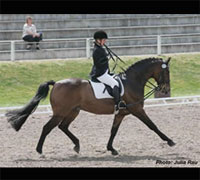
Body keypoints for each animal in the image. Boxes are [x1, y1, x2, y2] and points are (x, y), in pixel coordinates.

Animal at [6, 57, 175, 155]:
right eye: (166, 72)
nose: (165, 89)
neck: (131, 81)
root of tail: (57, 83)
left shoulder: (120, 113)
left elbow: (113, 131)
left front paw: (111, 149)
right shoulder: (137, 110)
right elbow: (152, 126)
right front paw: (170, 141)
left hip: (73, 112)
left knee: (63, 127)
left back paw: (76, 145)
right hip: (60, 113)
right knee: (48, 127)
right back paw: (40, 150)